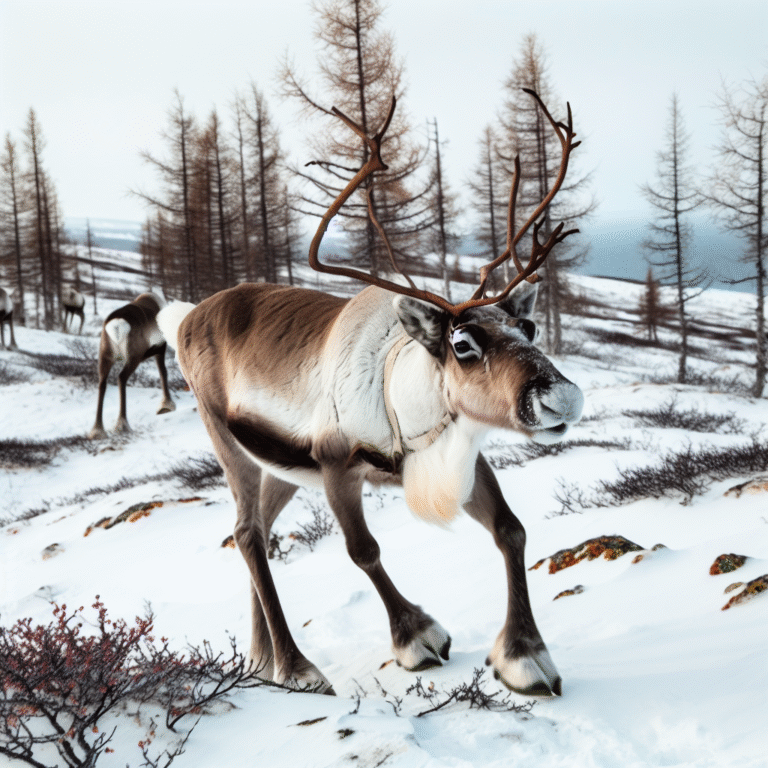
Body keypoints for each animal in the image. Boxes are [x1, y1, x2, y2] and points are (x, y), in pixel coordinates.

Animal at [89, 292, 176, 439]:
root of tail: (116, 325)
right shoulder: (160, 349)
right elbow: (163, 373)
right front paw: (166, 406)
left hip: (105, 357)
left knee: (102, 383)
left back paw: (98, 430)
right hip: (133, 358)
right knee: (121, 378)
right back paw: (122, 424)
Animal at [157, 90, 583, 698]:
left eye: (526, 328)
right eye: (462, 343)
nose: (562, 399)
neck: (399, 401)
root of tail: (187, 316)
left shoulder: (460, 458)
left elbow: (511, 530)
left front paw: (526, 657)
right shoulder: (336, 463)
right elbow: (364, 550)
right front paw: (417, 637)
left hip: (280, 468)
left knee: (254, 530)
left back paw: (262, 661)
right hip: (228, 442)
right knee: (245, 532)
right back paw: (298, 667)